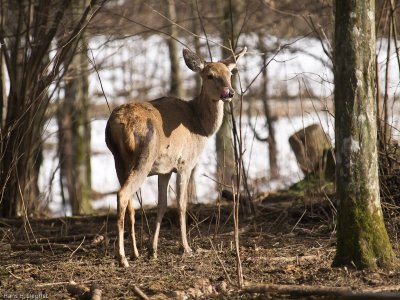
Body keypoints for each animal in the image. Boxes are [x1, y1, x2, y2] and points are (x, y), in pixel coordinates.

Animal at [104, 45, 247, 266]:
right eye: (210, 76)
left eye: (230, 73)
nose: (229, 93)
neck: (200, 126)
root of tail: (121, 124)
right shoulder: (184, 163)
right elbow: (181, 203)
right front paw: (186, 247)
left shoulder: (164, 169)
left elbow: (162, 205)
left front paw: (152, 250)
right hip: (145, 157)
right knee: (123, 194)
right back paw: (122, 258)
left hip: (118, 159)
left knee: (130, 203)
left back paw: (134, 253)